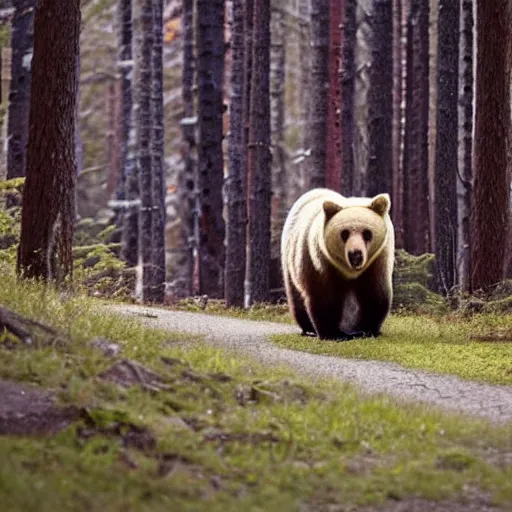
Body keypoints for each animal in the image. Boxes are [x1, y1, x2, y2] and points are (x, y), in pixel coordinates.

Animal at [280, 187, 396, 340]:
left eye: (367, 233)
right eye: (344, 233)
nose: (355, 255)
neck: (349, 271)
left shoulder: (378, 260)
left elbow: (374, 292)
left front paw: (368, 330)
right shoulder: (320, 261)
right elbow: (323, 297)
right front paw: (332, 333)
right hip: (290, 258)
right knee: (296, 295)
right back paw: (308, 329)